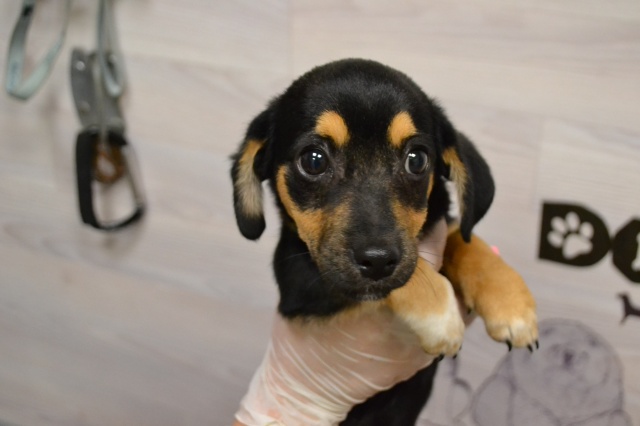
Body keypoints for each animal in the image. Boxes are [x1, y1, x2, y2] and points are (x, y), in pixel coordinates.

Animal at [231, 58, 538, 425]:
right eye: (313, 160)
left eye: (417, 159)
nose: (377, 260)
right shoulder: (305, 281)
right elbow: (405, 279)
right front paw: (440, 315)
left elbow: (463, 240)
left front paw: (511, 304)